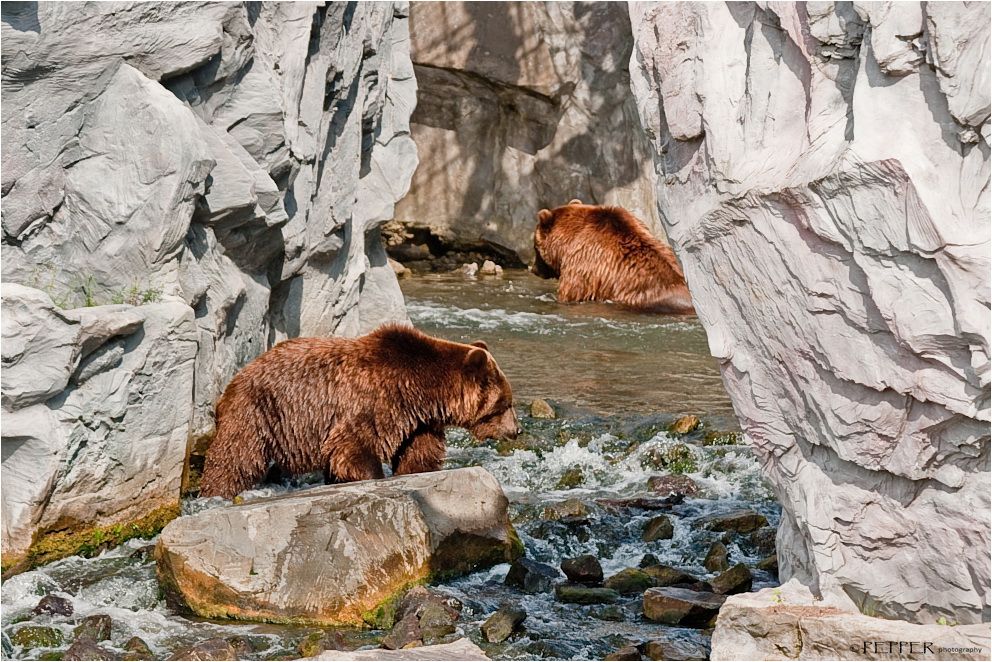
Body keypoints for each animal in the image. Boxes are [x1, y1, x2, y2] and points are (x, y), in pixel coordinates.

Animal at [195, 324, 520, 500]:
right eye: (506, 403)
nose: (517, 430)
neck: (421, 390)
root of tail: (237, 377)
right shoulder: (374, 402)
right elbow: (354, 447)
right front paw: (372, 477)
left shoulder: (419, 422)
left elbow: (419, 454)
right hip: (259, 411)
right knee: (235, 458)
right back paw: (215, 492)